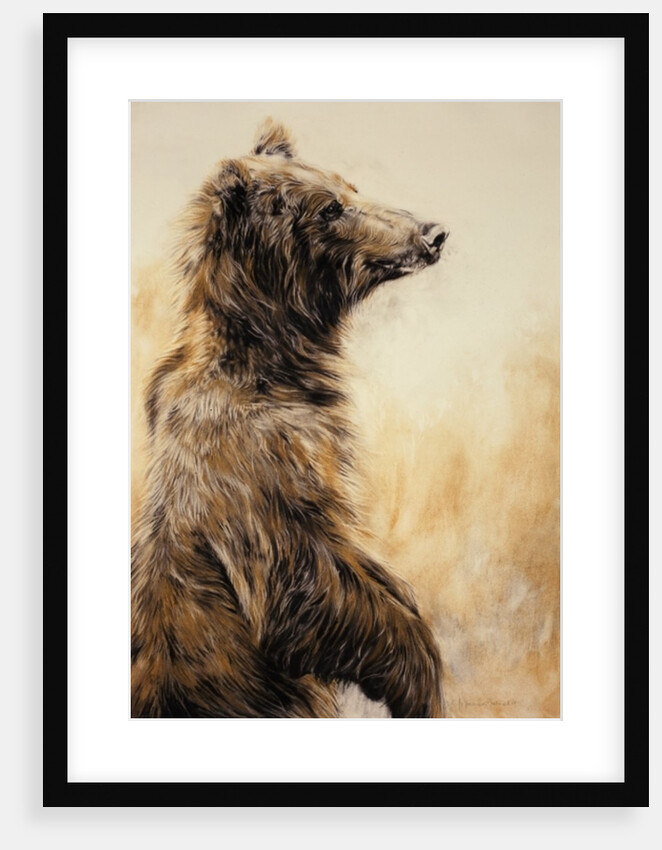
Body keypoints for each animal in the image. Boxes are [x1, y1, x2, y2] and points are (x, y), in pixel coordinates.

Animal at [131, 119, 448, 718]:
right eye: (330, 209)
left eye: (350, 187)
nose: (433, 232)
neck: (271, 357)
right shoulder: (253, 469)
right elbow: (300, 591)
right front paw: (419, 678)